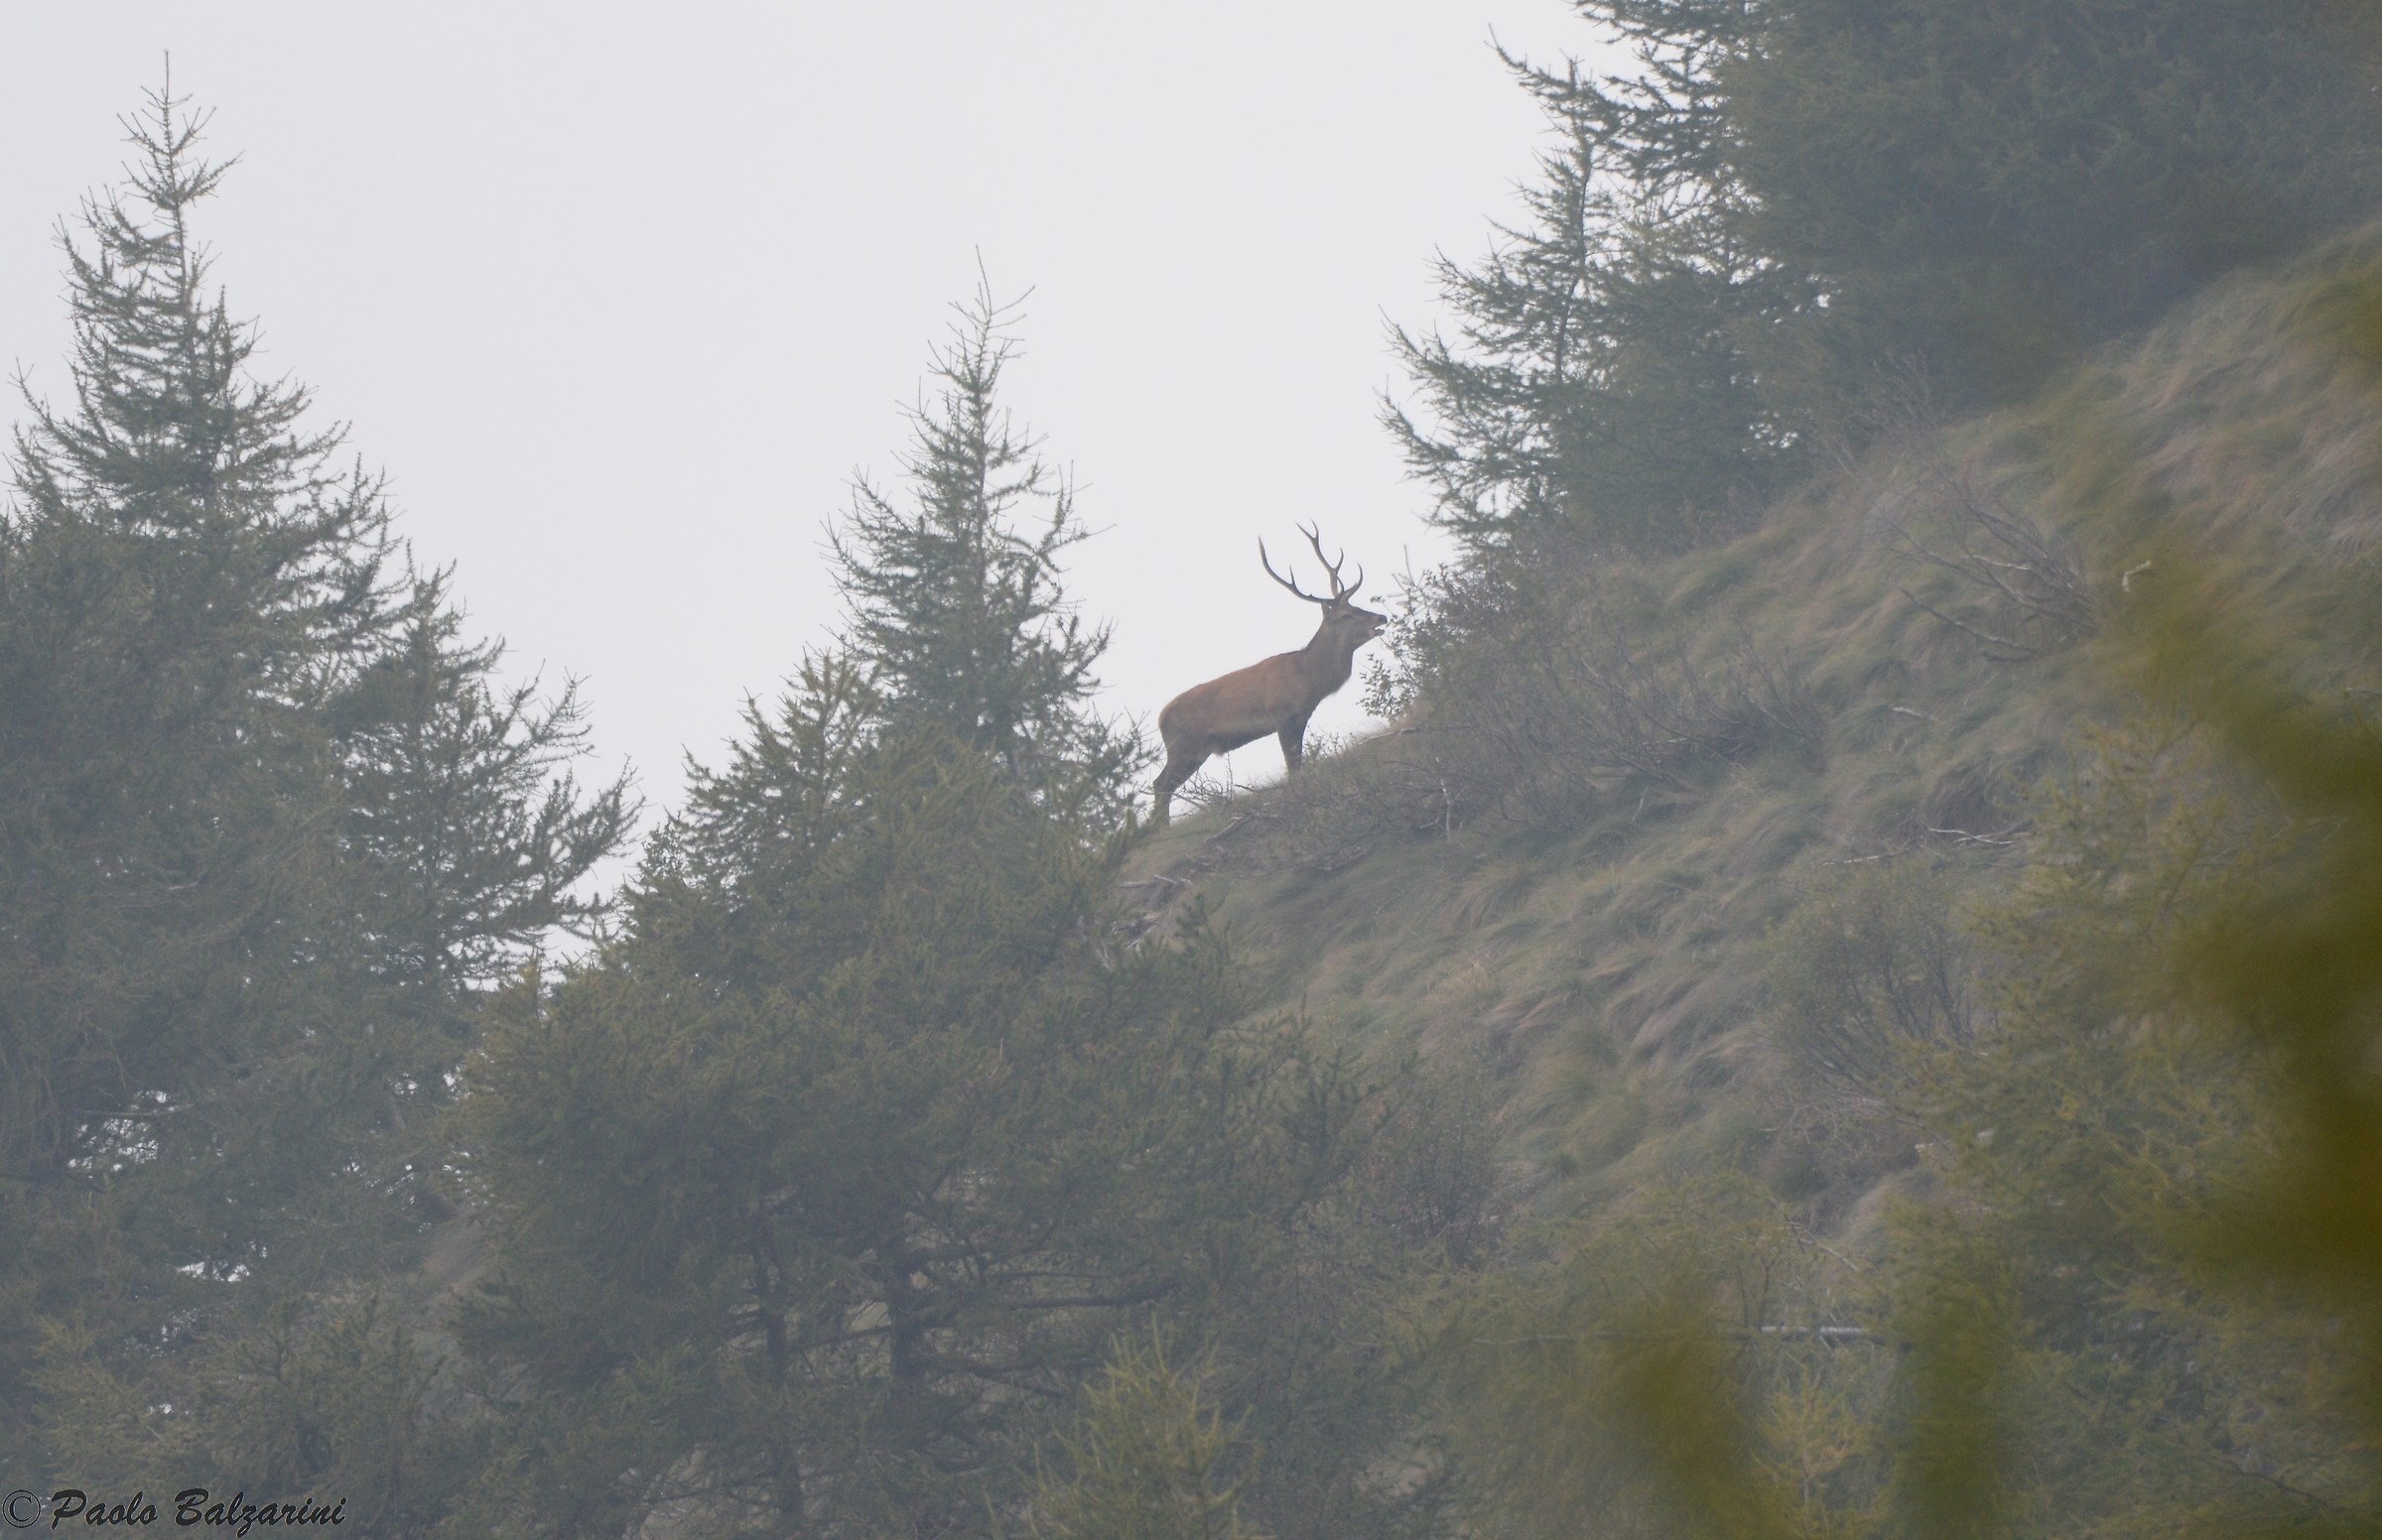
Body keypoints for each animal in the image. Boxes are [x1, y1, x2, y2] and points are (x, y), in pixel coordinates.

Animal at [1150, 524, 1387, 826]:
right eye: (1346, 615)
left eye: (1357, 607)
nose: (1381, 618)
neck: (1307, 678)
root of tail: (1160, 718)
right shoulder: (1281, 715)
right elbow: (1292, 766)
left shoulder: (1301, 716)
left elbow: (1298, 763)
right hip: (1183, 745)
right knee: (1160, 784)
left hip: (1194, 750)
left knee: (1163, 785)